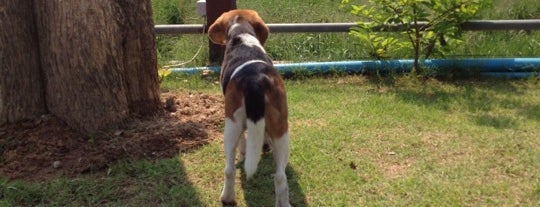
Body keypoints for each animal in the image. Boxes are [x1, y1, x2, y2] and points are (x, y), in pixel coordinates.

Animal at [208, 9, 292, 205]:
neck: (242, 35)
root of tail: (255, 80)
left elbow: (243, 142)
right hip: (282, 129)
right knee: (280, 177)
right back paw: (284, 202)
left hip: (230, 127)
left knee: (229, 169)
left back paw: (227, 197)